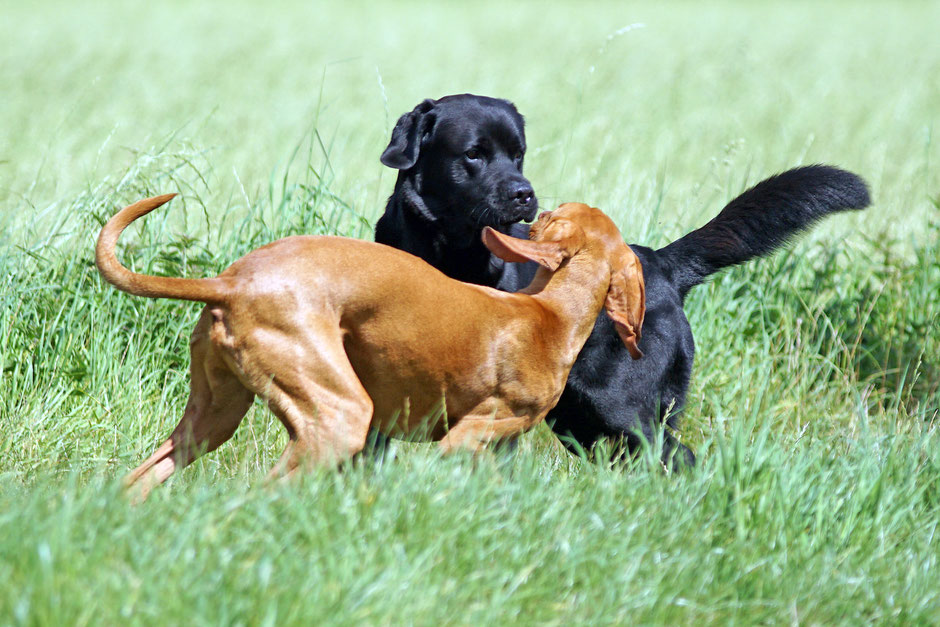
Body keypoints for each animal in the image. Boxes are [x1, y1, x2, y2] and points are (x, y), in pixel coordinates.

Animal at [95, 194, 648, 498]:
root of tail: (231, 283)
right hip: (337, 417)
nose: (534, 203)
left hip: (212, 418)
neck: (549, 314)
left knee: (142, 477)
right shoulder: (470, 435)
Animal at [372, 93, 868, 466]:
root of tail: (660, 262)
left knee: (674, 454)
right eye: (473, 154)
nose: (524, 194)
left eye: (518, 156)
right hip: (579, 419)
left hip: (618, 404)